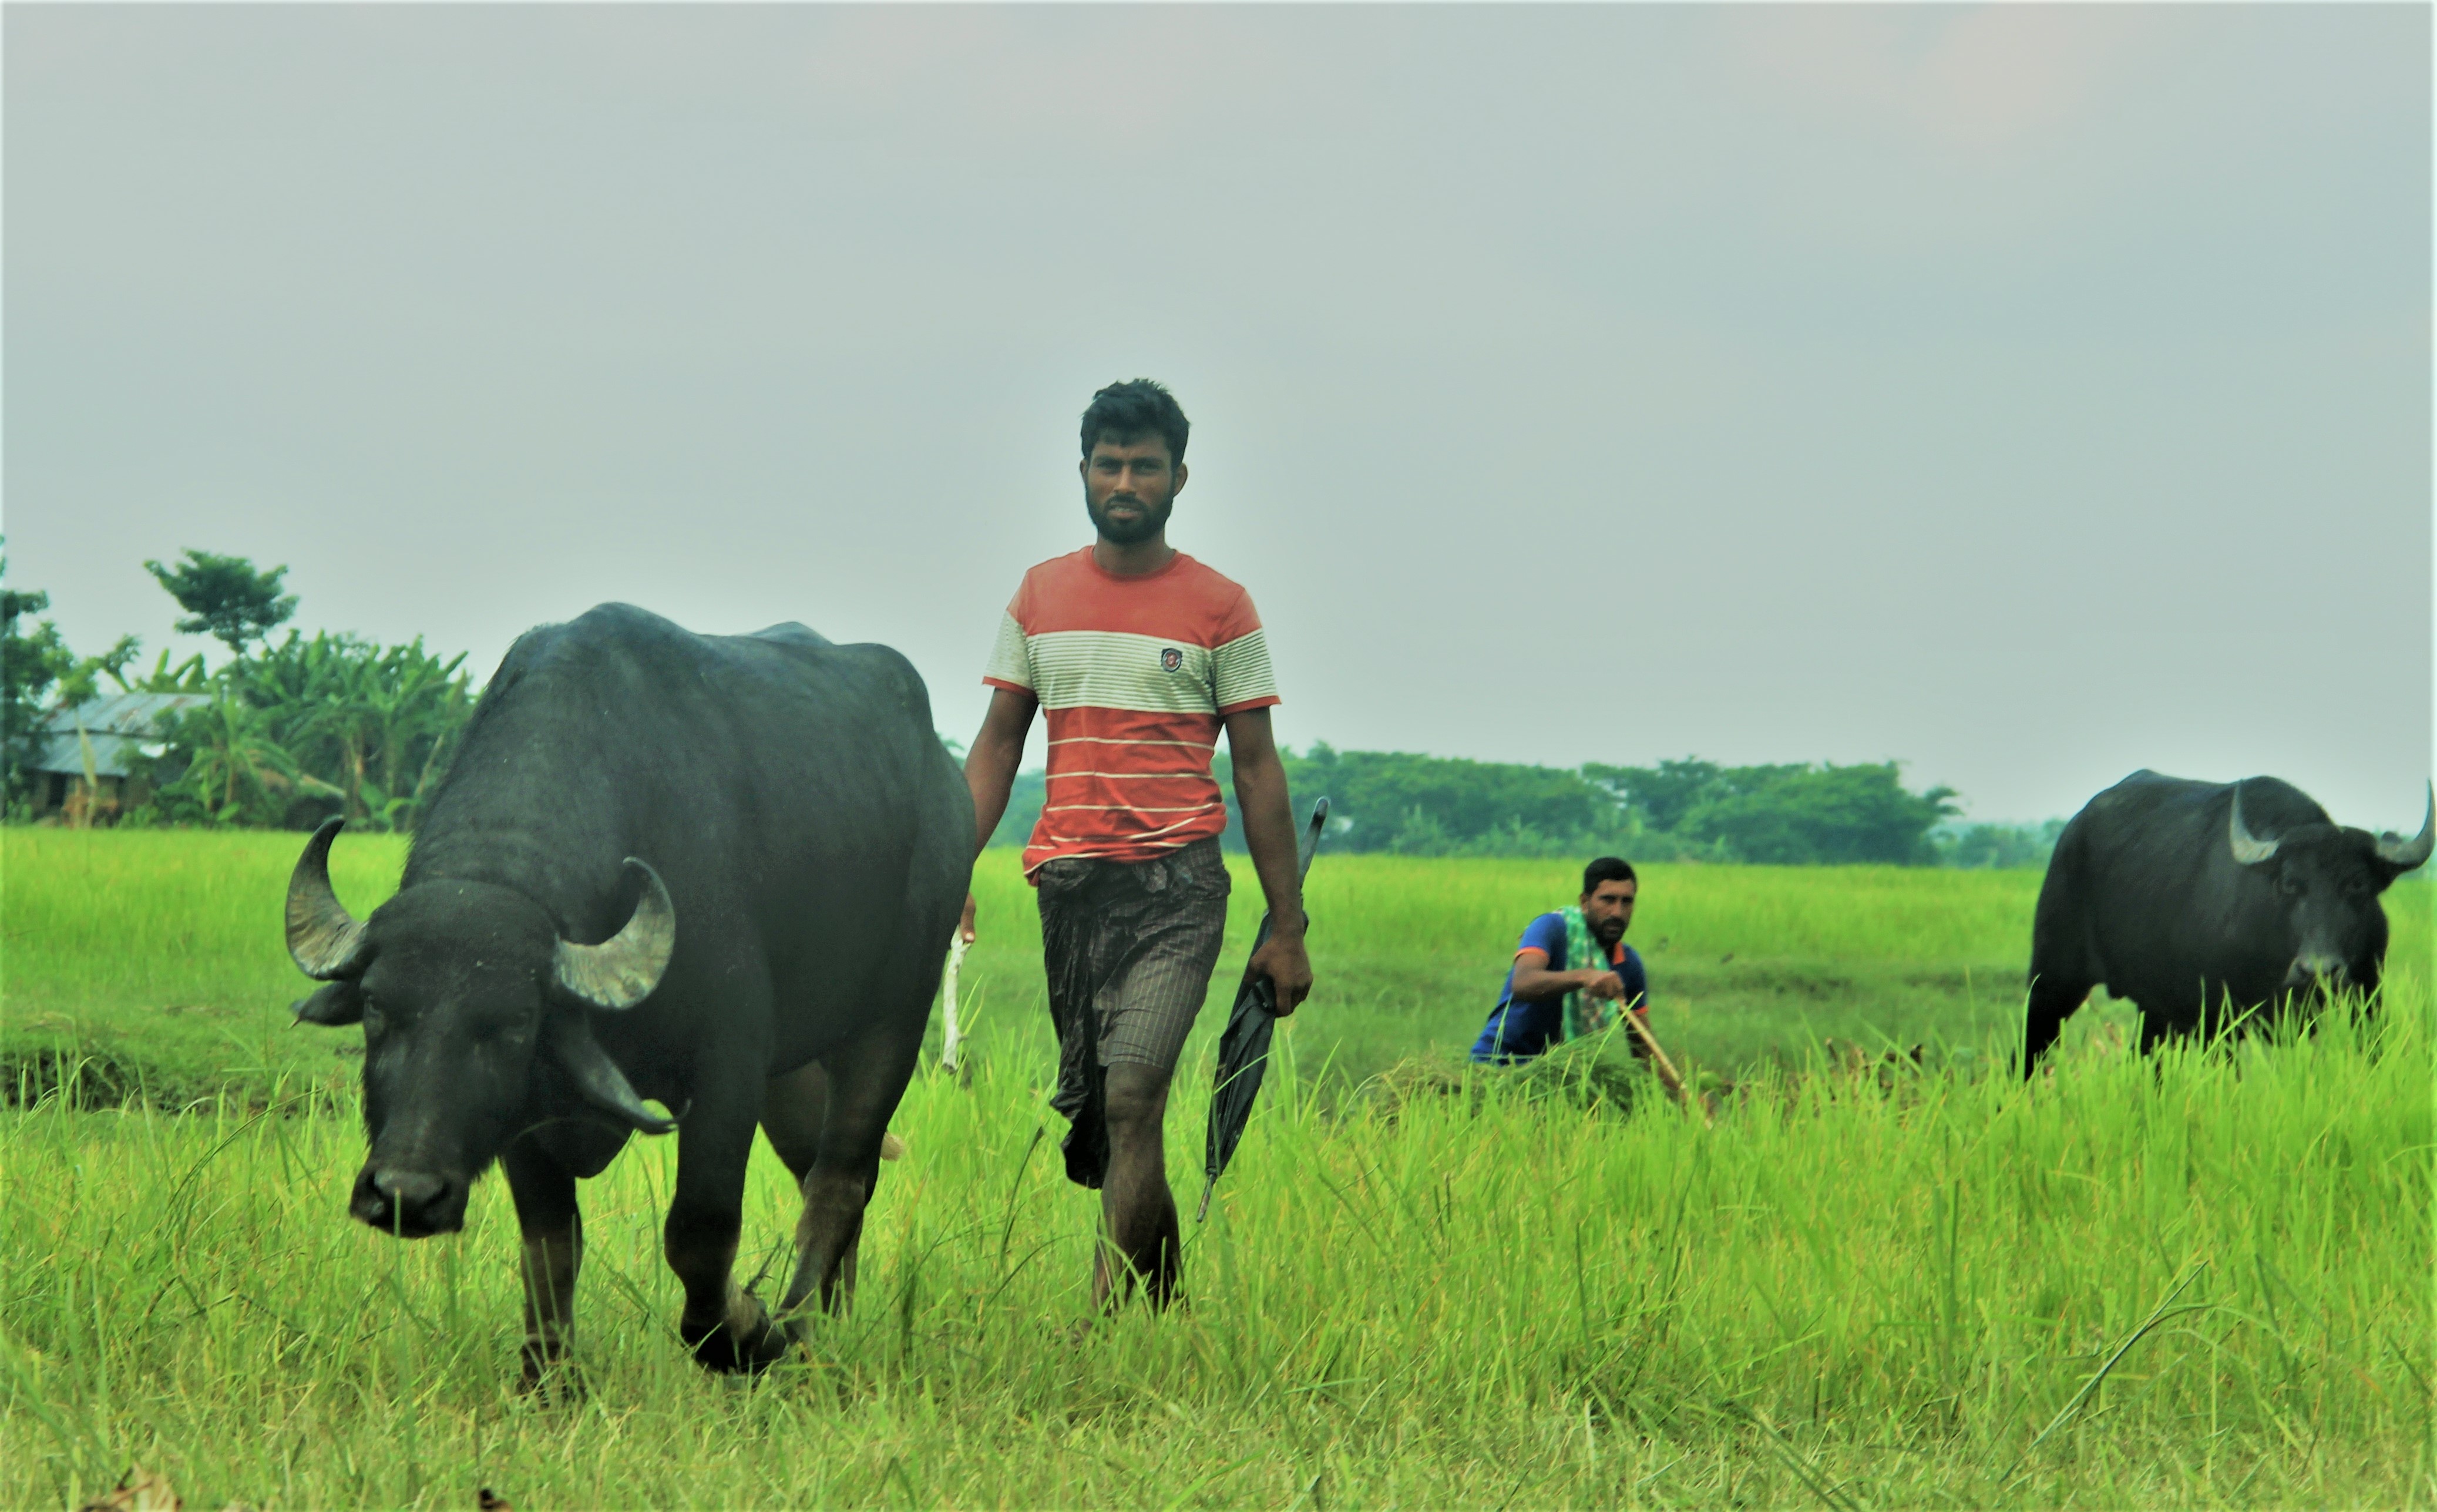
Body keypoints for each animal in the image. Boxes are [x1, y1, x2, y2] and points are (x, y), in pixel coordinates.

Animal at [285, 602, 970, 1385]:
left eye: (515, 1024)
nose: (405, 1195)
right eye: (376, 1008)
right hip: (795, 1069)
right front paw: (547, 1377)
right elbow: (550, 1245)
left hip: (894, 1016)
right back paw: (833, 1317)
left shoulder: (728, 1067)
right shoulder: (528, 1123)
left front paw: (747, 1333)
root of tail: (948, 786)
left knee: (840, 1179)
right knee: (820, 1174)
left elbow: (699, 1233)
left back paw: (798, 1328)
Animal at [2018, 765, 2437, 1073]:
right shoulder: (2218, 1022)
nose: (2317, 971)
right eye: (2289, 884)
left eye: (2357, 883)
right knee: (2026, 1054)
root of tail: (2073, 831)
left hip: (2153, 1010)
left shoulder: (2367, 1004)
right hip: (2051, 983)